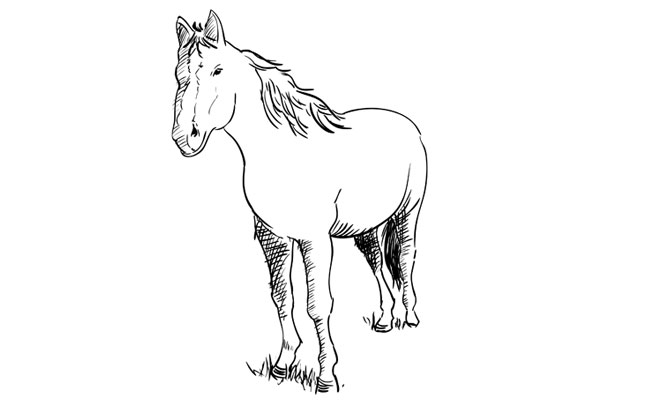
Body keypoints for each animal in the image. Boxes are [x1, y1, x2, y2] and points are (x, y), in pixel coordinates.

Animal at [171, 10, 428, 393]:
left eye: (218, 70)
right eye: (179, 73)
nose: (184, 138)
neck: (284, 153)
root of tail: (404, 122)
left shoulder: (315, 240)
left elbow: (318, 304)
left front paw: (325, 375)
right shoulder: (272, 237)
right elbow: (282, 297)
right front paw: (283, 363)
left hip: (408, 212)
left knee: (407, 258)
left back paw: (409, 316)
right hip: (366, 225)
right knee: (378, 263)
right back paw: (384, 319)